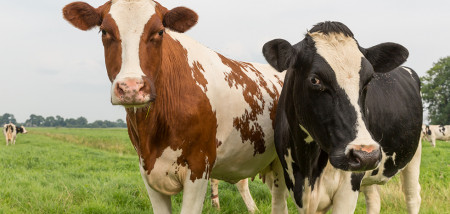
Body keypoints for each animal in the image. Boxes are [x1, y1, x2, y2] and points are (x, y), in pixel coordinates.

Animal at [262, 20, 424, 213]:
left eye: (368, 80)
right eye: (315, 80)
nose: (365, 155)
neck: (308, 167)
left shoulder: (348, 188)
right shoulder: (292, 182)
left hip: (414, 153)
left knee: (412, 196)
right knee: (374, 199)